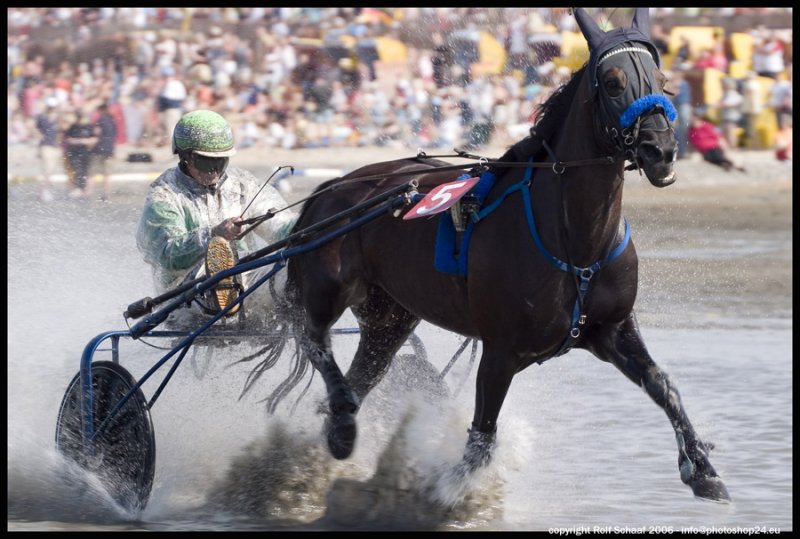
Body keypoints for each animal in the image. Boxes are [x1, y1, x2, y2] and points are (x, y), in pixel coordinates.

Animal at [276, 8, 732, 504]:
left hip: (389, 317)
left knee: (365, 371)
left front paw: (703, 469)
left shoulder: (611, 330)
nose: (661, 150)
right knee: (314, 339)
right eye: (612, 82)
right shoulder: (501, 351)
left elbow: (663, 385)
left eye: (663, 80)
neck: (573, 240)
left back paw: (337, 423)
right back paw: (340, 425)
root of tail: (333, 187)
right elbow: (481, 439)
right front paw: (447, 495)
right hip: (327, 288)